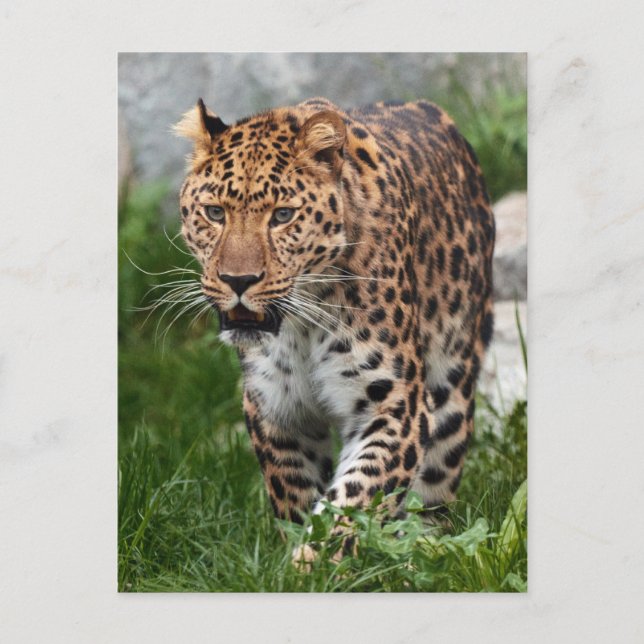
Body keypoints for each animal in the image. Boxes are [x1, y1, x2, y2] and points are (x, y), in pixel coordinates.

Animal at [174, 96, 495, 546]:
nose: (238, 280)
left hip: (453, 382)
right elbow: (295, 494)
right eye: (215, 213)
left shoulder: (396, 406)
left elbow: (354, 500)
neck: (302, 323)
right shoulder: (276, 406)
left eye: (283, 216)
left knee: (432, 489)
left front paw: (316, 557)